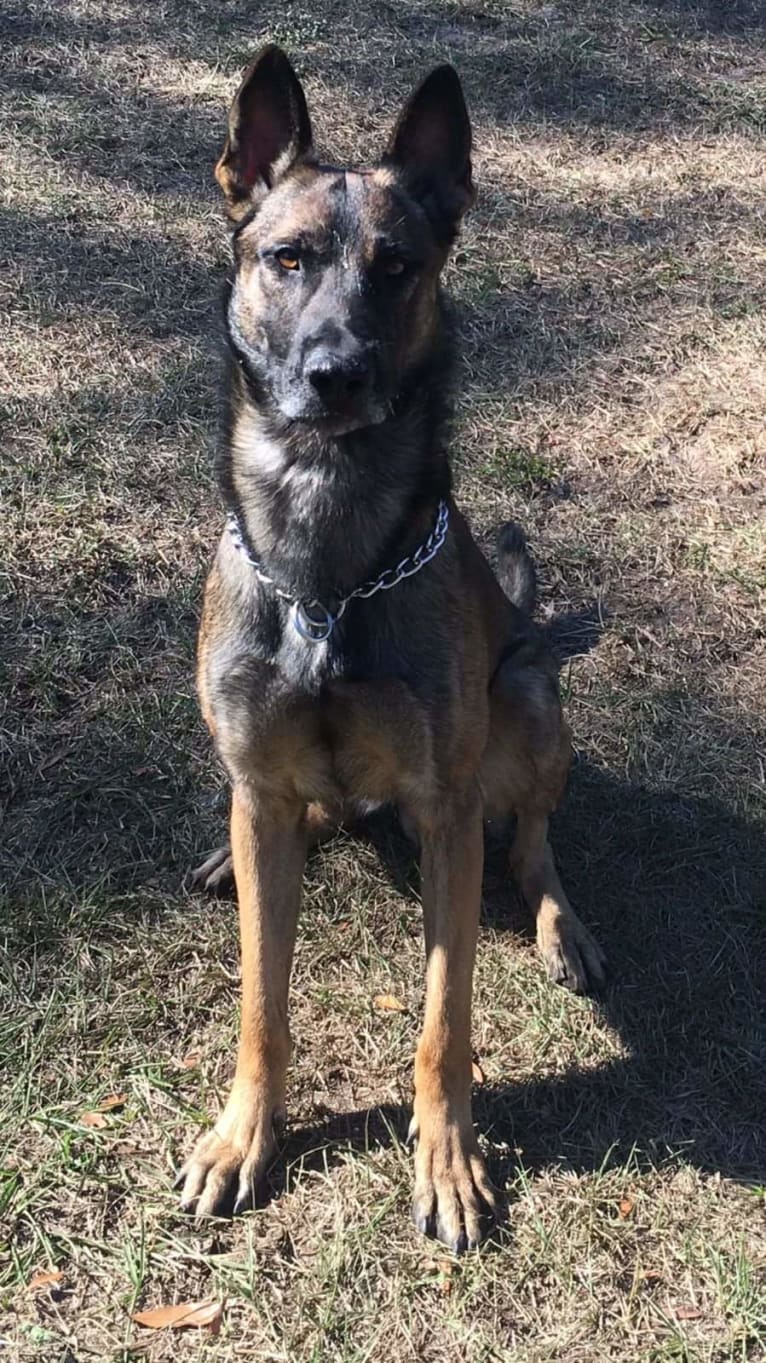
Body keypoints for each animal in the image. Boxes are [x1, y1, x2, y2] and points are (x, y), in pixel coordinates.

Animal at [178, 48, 602, 1248]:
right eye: (288, 259)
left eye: (397, 267)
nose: (338, 373)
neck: (329, 574)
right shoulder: (262, 775)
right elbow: (261, 1004)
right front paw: (243, 1136)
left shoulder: (449, 808)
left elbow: (443, 1019)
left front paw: (448, 1161)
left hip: (530, 696)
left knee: (534, 838)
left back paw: (563, 927)